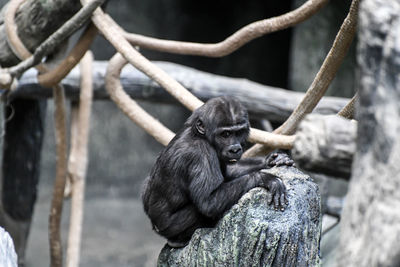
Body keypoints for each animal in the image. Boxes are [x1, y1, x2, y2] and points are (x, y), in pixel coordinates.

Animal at [142, 96, 290, 249]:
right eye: (225, 134)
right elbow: (208, 202)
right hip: (170, 228)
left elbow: (229, 173)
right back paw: (178, 240)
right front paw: (266, 178)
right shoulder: (200, 154)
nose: (235, 149)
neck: (200, 136)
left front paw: (271, 160)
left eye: (238, 132)